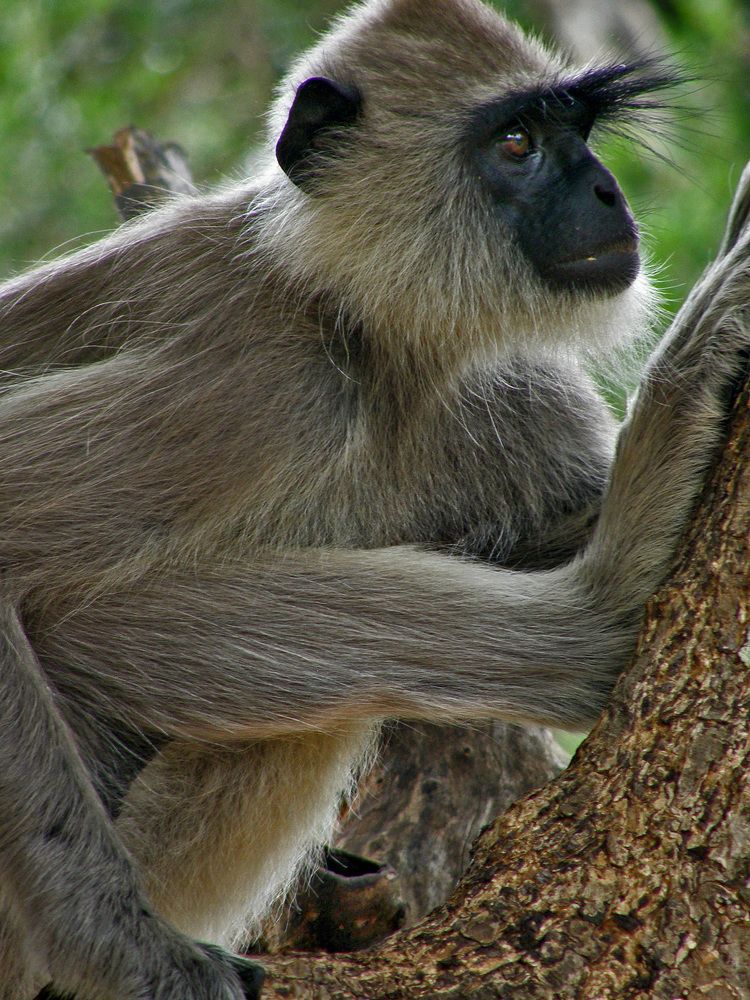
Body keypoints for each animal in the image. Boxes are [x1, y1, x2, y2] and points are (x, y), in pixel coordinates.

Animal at [0, 0, 748, 997]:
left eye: (578, 136)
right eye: (516, 144)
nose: (604, 194)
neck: (348, 314)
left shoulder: (515, 395)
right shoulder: (267, 385)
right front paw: (127, 952)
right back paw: (605, 607)